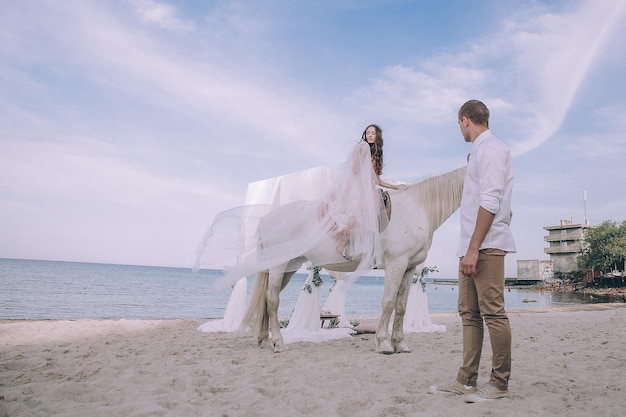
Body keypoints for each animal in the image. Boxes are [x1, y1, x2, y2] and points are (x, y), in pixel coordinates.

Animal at [239, 165, 464, 352]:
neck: (416, 208)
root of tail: (267, 218)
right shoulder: (396, 264)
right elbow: (389, 302)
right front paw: (383, 343)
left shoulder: (409, 268)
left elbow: (401, 307)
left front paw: (400, 344)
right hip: (279, 265)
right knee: (272, 299)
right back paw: (278, 343)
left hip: (288, 266)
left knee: (267, 298)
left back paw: (265, 340)